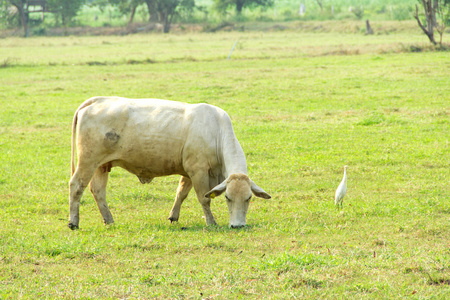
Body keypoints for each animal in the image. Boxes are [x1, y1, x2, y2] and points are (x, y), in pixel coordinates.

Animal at [67, 96, 270, 230]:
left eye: (248, 198)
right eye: (227, 197)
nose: (238, 226)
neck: (215, 131)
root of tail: (97, 100)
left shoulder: (189, 173)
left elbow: (181, 194)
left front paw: (174, 216)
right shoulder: (198, 171)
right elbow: (204, 199)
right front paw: (211, 222)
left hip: (101, 165)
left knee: (98, 191)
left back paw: (109, 220)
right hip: (87, 161)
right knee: (77, 186)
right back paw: (73, 222)